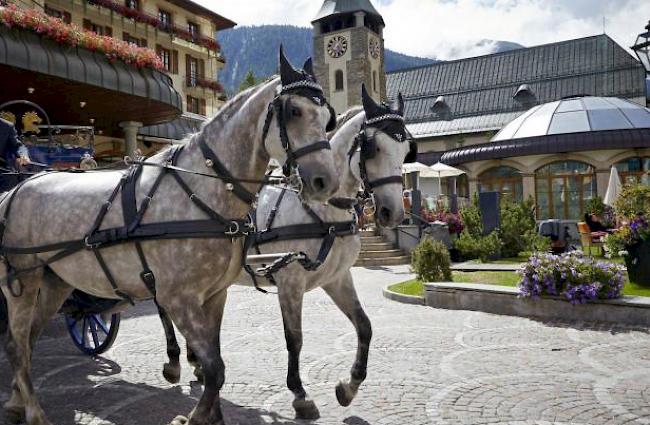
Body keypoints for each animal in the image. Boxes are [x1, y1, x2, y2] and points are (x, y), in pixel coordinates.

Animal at [0, 48, 340, 425]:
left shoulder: (214, 296)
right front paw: (192, 416)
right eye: (294, 111)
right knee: (16, 343)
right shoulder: (178, 298)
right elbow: (215, 368)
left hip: (55, 282)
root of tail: (15, 189)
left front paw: (211, 413)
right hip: (23, 280)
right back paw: (34, 411)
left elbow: (213, 363)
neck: (200, 191)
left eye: (328, 117)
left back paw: (16, 401)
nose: (326, 182)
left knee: (27, 341)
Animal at [157, 85, 416, 420]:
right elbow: (295, 338)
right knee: (164, 309)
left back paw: (196, 362)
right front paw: (300, 394)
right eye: (372, 147)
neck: (322, 212)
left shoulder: (338, 278)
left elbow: (365, 327)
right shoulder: (289, 281)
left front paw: (349, 387)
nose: (393, 213)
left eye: (405, 149)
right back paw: (174, 361)